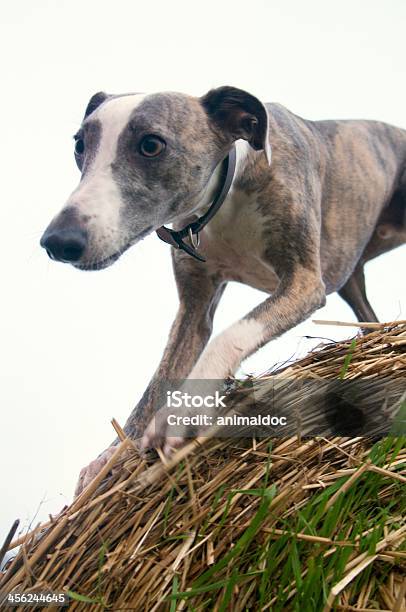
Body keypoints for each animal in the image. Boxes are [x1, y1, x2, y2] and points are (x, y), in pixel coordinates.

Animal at [41, 87, 406, 498]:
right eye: (79, 145)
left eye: (151, 144)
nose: (57, 242)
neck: (227, 194)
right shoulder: (194, 308)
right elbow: (159, 379)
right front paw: (111, 459)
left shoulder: (304, 282)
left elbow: (230, 336)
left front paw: (179, 415)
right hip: (351, 280)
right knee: (369, 318)